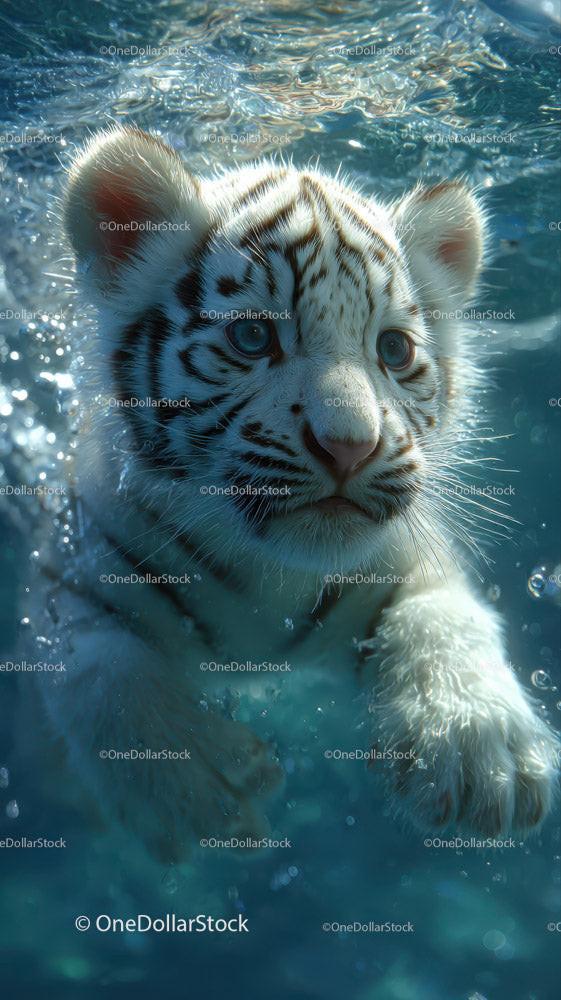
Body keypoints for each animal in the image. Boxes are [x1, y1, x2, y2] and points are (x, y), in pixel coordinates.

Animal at [26, 126, 558, 862]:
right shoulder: (68, 568)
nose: (350, 445)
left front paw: (479, 746)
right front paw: (204, 789)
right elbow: (100, 668)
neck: (267, 580)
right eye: (253, 335)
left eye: (393, 350)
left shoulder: (406, 557)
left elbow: (441, 610)